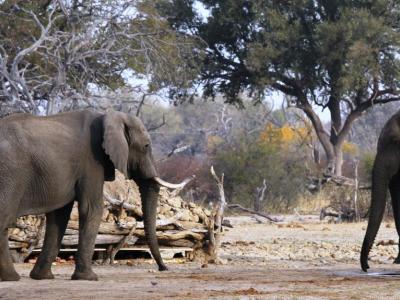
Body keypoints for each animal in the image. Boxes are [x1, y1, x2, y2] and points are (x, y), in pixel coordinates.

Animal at [0, 109, 180, 282]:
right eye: (146, 146)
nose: (163, 268)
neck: (108, 116)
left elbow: (59, 216)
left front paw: (42, 277)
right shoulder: (92, 161)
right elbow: (91, 208)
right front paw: (89, 278)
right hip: (11, 174)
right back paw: (12, 278)